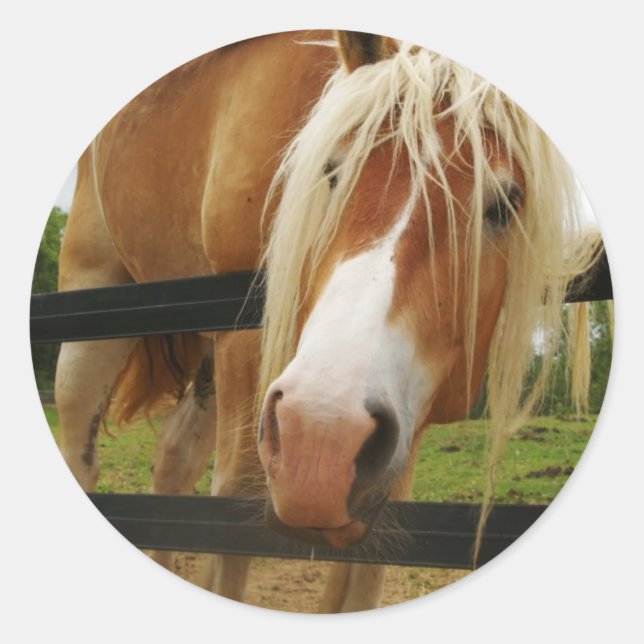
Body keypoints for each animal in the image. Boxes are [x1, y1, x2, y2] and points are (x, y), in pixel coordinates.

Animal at [53, 30, 600, 612]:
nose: (321, 438)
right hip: (98, 305)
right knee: (84, 456)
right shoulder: (247, 343)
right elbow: (233, 509)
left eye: (503, 204)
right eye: (332, 173)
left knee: (174, 459)